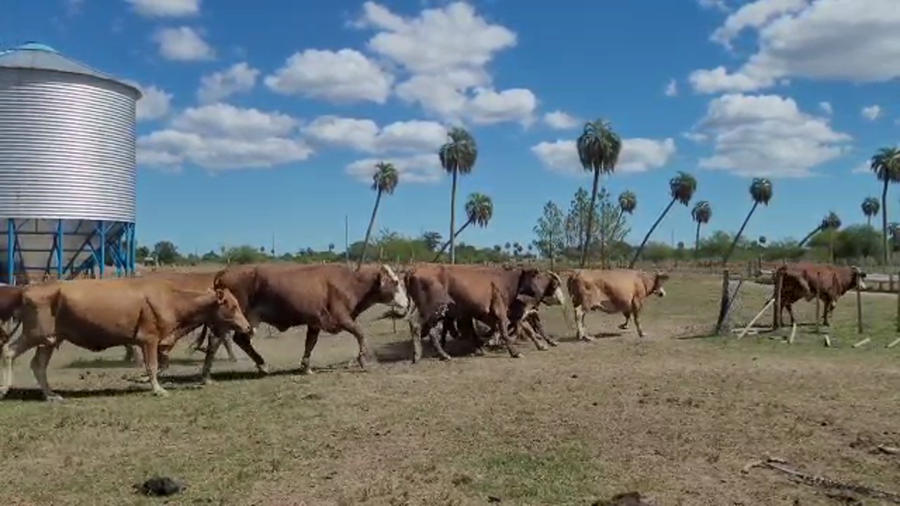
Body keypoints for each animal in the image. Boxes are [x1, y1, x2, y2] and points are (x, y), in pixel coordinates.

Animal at [0, 277, 253, 401]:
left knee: (38, 365)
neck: (172, 300)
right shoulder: (149, 339)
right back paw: (5, 389)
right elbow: (152, 366)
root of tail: (26, 289)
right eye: (231, 306)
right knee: (8, 351)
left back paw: (51, 395)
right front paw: (158, 389)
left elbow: (160, 365)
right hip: (34, 334)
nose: (247, 326)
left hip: (50, 339)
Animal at [201, 262, 409, 382]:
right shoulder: (341, 318)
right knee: (217, 340)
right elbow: (360, 333)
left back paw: (261, 365)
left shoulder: (315, 322)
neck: (350, 283)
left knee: (239, 340)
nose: (407, 302)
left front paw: (306, 366)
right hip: (233, 319)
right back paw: (207, 375)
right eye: (395, 282)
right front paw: (363, 359)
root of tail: (225, 272)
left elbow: (310, 343)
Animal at [400, 264, 566, 363]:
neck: (506, 280)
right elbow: (505, 331)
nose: (562, 299)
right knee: (418, 326)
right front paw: (514, 352)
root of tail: (413, 270)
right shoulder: (500, 311)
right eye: (535, 275)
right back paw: (420, 355)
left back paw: (442, 354)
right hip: (432, 309)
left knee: (432, 331)